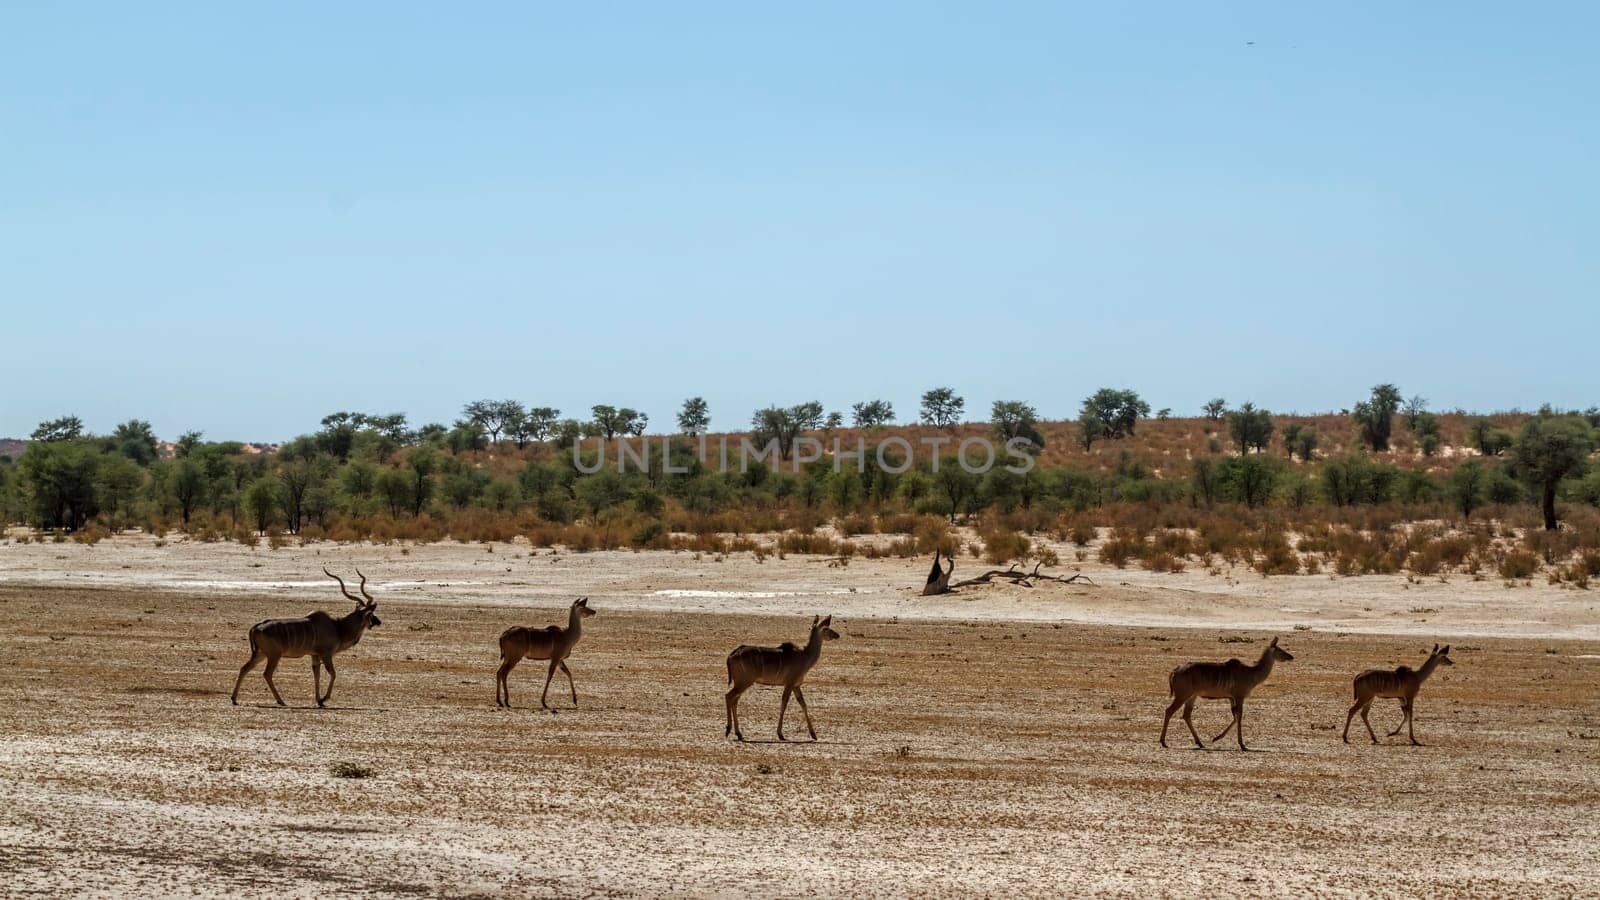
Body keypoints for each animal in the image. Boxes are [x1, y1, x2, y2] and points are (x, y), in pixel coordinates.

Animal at [233, 566, 382, 707]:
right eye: (371, 614)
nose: (379, 622)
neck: (338, 627)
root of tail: (256, 627)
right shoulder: (326, 654)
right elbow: (333, 674)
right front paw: (324, 698)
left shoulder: (314, 656)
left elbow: (317, 675)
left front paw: (319, 701)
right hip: (274, 655)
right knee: (267, 674)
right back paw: (280, 701)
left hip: (261, 654)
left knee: (244, 668)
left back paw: (234, 699)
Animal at [729, 611, 844, 739]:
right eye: (826, 628)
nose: (837, 635)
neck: (804, 657)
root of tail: (732, 655)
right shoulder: (789, 683)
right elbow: (784, 703)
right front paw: (780, 734)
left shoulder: (796, 685)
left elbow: (803, 704)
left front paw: (813, 734)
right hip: (744, 681)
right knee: (729, 696)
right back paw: (728, 730)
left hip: (741, 682)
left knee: (734, 699)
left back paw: (738, 733)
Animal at [1158, 634, 1292, 746]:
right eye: (1280, 650)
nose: (1291, 657)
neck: (1251, 674)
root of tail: (1174, 671)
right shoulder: (1239, 696)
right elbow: (1239, 717)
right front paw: (1242, 744)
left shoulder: (1231, 698)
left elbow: (1235, 717)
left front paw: (1216, 738)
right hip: (1182, 695)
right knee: (1169, 710)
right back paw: (1163, 741)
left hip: (1192, 696)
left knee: (1186, 715)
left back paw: (1200, 742)